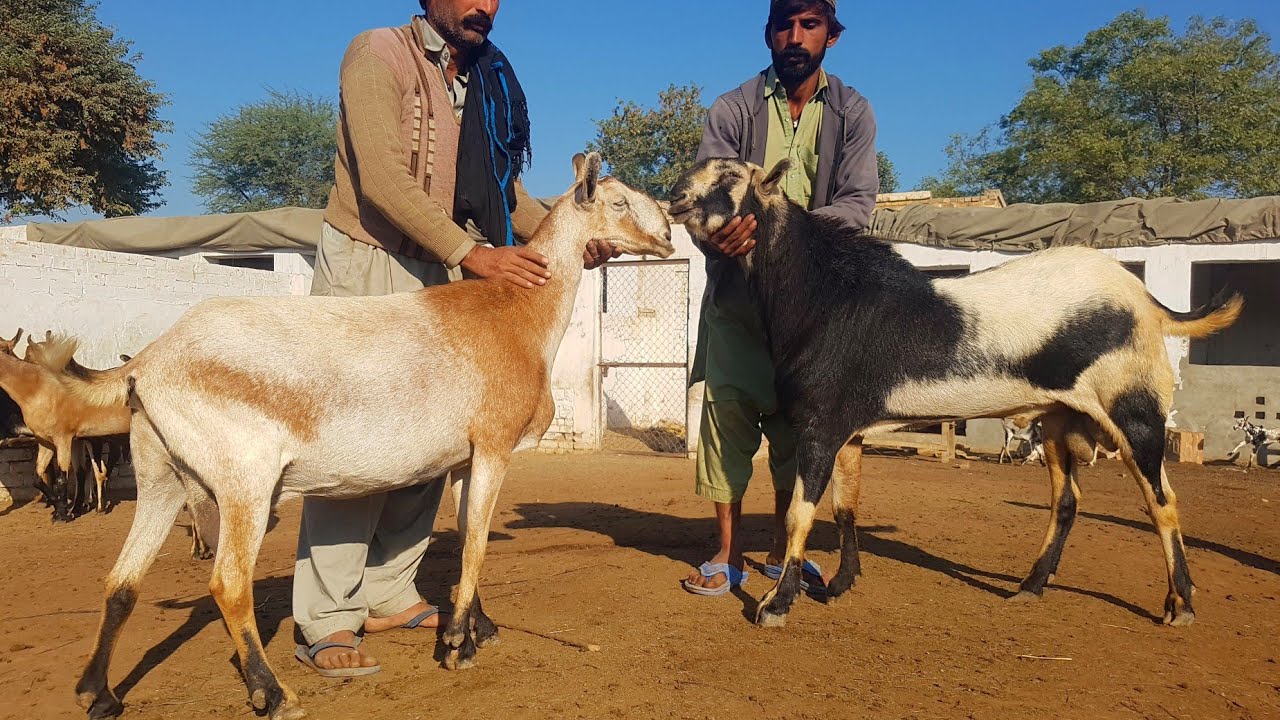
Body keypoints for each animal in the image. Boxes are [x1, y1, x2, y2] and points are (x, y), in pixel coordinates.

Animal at [64, 153, 672, 720]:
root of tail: (151, 360)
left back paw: (98, 692)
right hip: (244, 479)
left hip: (160, 473)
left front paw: (478, 627)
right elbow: (476, 542)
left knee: (121, 582)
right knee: (229, 585)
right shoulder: (495, 444)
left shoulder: (464, 458)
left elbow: (465, 534)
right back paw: (272, 692)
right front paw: (456, 645)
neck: (518, 315)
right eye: (619, 202)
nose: (667, 235)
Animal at [669, 157, 1242, 630]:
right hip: (1058, 417)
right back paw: (1031, 586)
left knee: (1161, 501)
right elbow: (845, 505)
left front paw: (778, 603)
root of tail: (1148, 301)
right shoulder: (847, 429)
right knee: (1066, 501)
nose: (675, 196)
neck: (825, 294)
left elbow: (800, 512)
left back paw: (1181, 604)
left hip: (1133, 409)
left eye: (729, 176)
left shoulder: (818, 424)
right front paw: (840, 584)